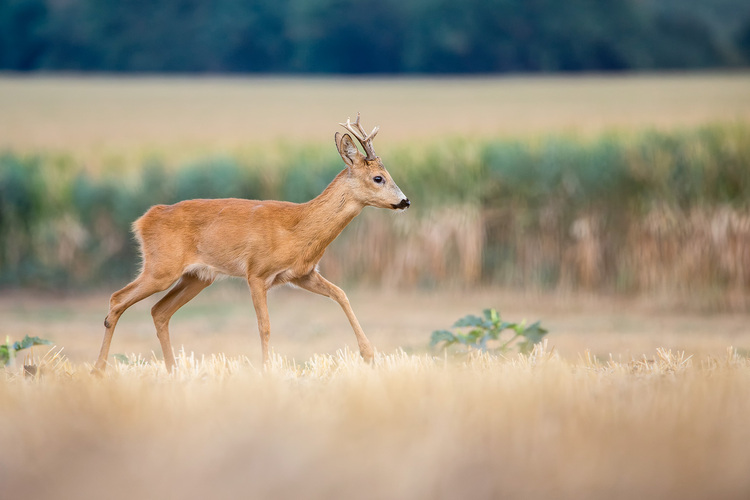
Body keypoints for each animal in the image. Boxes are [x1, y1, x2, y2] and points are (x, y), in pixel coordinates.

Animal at [95, 113, 412, 372]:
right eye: (378, 177)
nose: (405, 201)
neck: (298, 227)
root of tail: (144, 219)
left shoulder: (303, 274)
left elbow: (342, 294)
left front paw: (369, 355)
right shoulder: (256, 272)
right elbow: (265, 326)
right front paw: (266, 370)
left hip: (198, 277)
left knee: (159, 311)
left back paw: (173, 372)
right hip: (161, 267)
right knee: (117, 299)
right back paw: (99, 369)